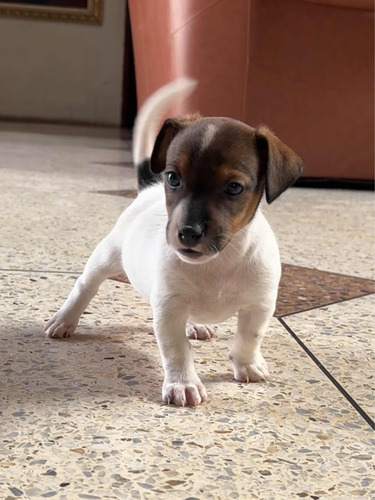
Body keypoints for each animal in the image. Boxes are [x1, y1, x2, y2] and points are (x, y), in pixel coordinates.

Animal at [45, 78, 306, 406]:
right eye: (173, 178)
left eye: (234, 187)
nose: (187, 233)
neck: (219, 262)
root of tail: (148, 189)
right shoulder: (169, 309)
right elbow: (176, 349)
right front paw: (183, 383)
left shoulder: (259, 305)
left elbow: (249, 337)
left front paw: (246, 364)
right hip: (105, 258)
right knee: (84, 287)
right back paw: (64, 320)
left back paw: (198, 324)